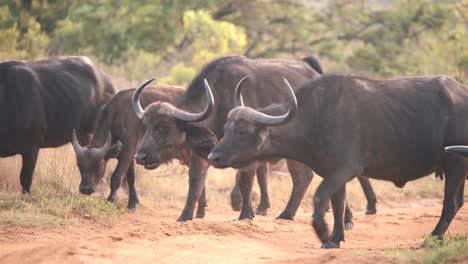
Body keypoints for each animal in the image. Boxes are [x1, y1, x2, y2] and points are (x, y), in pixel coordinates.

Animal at [131, 55, 376, 223]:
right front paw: (188, 215)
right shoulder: (200, 155)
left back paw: (290, 214)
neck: (218, 102)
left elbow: (244, 182)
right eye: (146, 126)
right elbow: (196, 185)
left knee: (304, 177)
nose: (140, 156)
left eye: (163, 127)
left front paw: (245, 213)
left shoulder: (244, 155)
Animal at [209, 72, 468, 248]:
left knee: (450, 203)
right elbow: (337, 204)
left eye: (242, 131)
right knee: (457, 202)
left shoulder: (343, 170)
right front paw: (335, 238)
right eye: (226, 127)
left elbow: (320, 197)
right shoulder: (333, 173)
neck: (316, 117)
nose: (213, 156)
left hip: (456, 163)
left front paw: (323, 233)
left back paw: (431, 239)